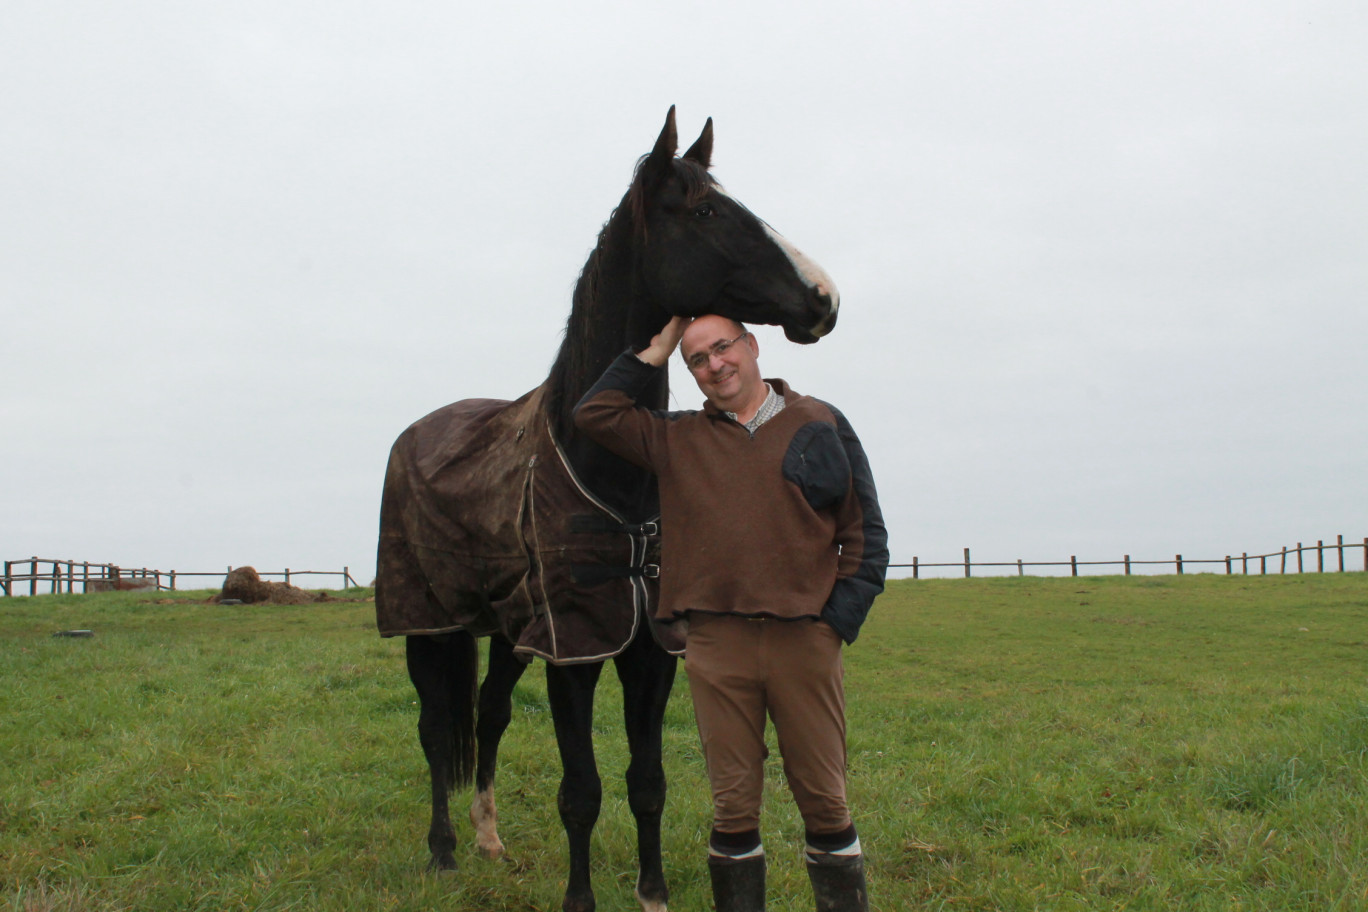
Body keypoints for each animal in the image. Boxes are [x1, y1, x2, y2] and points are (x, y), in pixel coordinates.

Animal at [380, 108, 837, 912]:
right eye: (705, 212)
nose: (824, 297)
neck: (606, 462)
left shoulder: (647, 649)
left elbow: (645, 782)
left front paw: (652, 893)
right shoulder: (576, 653)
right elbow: (581, 791)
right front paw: (580, 900)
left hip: (506, 632)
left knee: (488, 714)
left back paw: (489, 840)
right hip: (429, 626)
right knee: (436, 730)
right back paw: (443, 852)